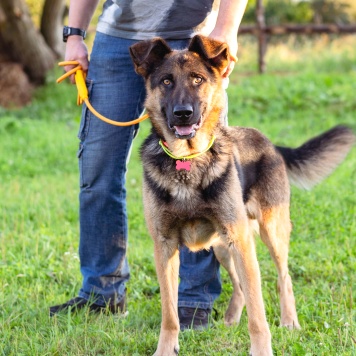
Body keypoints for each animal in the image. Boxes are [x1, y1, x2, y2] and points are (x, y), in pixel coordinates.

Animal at [129, 34, 354, 354]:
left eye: (197, 79)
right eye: (166, 81)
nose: (183, 113)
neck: (188, 159)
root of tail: (270, 143)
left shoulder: (241, 241)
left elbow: (258, 314)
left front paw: (262, 349)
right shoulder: (164, 246)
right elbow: (169, 314)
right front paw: (165, 349)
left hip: (267, 232)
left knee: (282, 278)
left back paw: (289, 322)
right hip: (224, 245)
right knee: (239, 285)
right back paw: (231, 319)